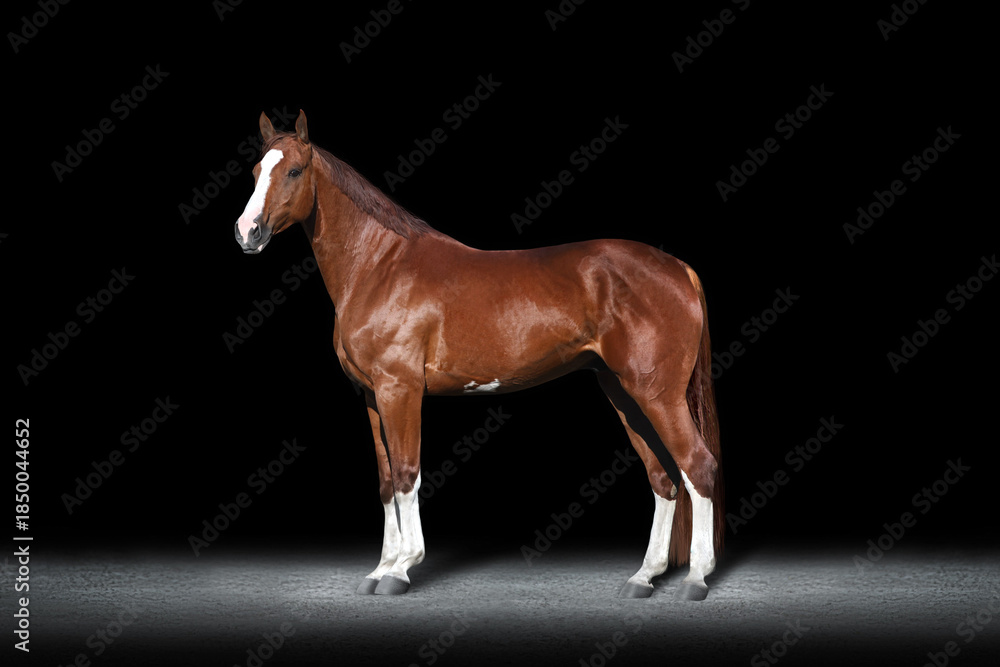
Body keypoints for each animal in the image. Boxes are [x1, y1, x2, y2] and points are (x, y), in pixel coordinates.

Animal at [234, 110, 724, 600]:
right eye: (256, 172)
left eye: (295, 171)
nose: (247, 232)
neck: (379, 267)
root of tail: (678, 267)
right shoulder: (372, 396)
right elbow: (387, 482)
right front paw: (379, 569)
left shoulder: (401, 390)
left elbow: (407, 473)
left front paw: (400, 570)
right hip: (623, 393)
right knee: (663, 478)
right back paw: (643, 578)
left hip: (657, 394)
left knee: (697, 468)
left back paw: (695, 579)